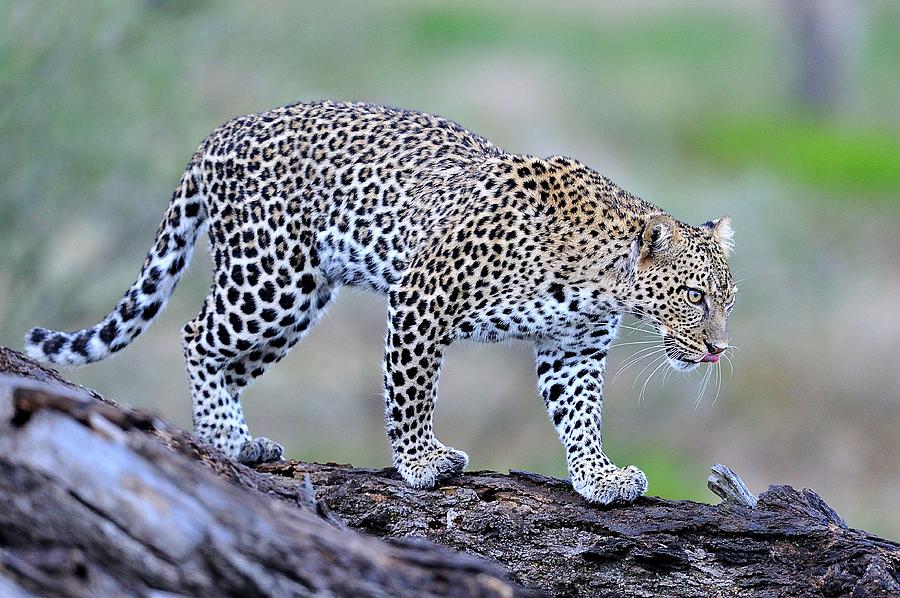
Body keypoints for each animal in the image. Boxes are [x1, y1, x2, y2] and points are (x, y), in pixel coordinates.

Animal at [24, 102, 736, 506]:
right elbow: (411, 391)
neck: (601, 279)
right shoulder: (424, 296)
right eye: (694, 297)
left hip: (300, 300)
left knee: (229, 359)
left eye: (727, 301)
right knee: (196, 335)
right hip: (270, 278)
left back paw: (241, 440)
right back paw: (224, 441)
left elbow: (580, 417)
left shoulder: (573, 350)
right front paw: (421, 464)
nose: (718, 348)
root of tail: (219, 133)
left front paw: (598, 478)